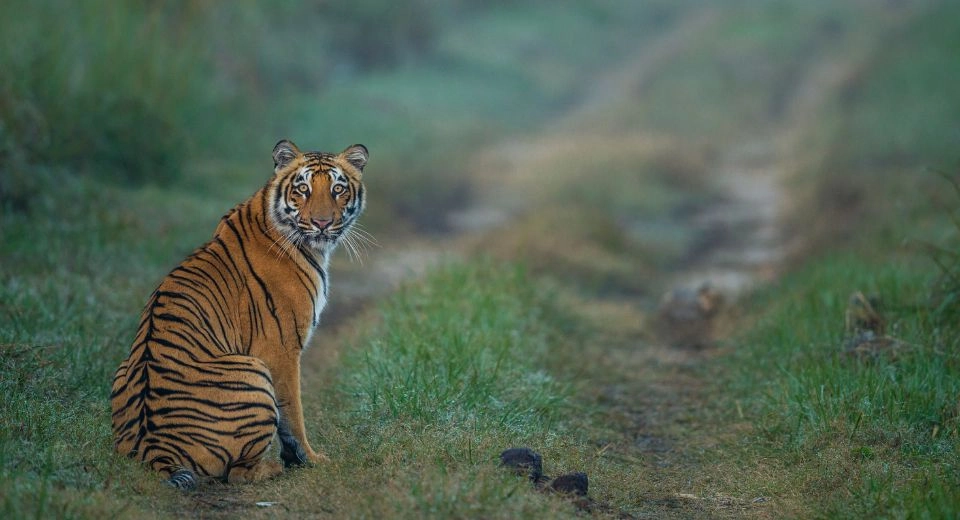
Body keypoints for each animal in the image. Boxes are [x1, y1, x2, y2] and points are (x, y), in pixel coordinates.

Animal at [110, 140, 369, 490]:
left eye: (338, 189)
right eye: (302, 189)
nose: (322, 223)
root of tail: (154, 447)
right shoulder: (280, 349)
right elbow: (293, 414)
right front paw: (309, 460)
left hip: (122, 372)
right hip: (253, 372)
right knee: (235, 474)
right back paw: (270, 469)